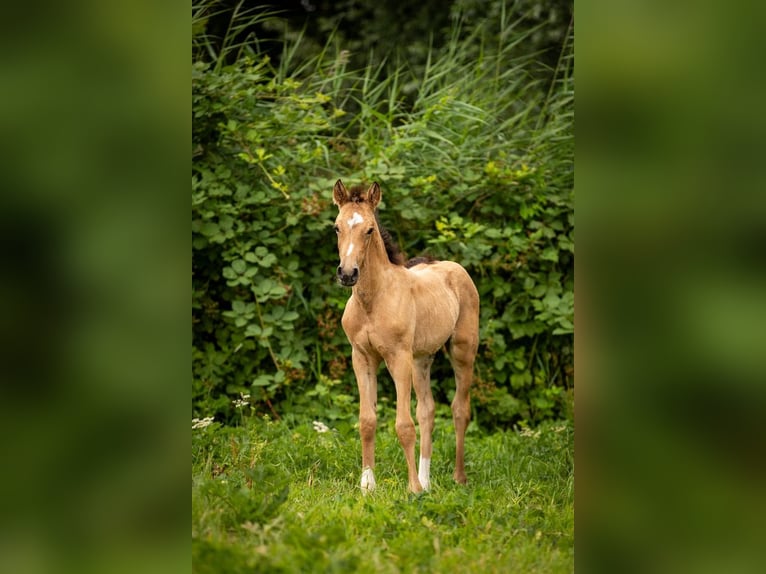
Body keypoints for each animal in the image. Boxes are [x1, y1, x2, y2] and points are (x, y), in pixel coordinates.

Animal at [332, 179, 480, 493]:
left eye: (369, 230)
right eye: (337, 227)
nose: (348, 274)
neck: (373, 300)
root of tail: (453, 267)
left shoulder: (398, 358)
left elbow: (403, 425)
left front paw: (412, 489)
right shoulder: (361, 358)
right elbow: (367, 420)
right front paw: (367, 485)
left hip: (462, 350)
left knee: (460, 409)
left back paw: (457, 478)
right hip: (422, 359)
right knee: (428, 410)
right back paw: (427, 480)